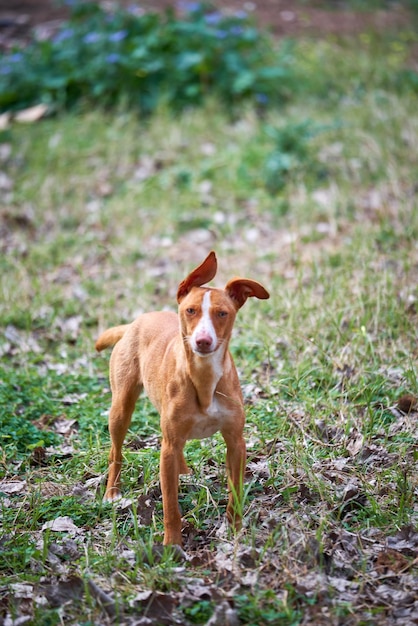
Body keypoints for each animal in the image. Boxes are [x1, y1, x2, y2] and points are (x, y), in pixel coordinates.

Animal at [96, 251, 270, 544]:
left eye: (222, 313)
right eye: (191, 311)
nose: (202, 341)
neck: (203, 378)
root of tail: (135, 322)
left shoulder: (236, 442)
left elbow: (235, 491)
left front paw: (235, 531)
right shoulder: (167, 449)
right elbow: (170, 505)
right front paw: (172, 545)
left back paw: (185, 472)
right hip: (121, 408)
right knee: (115, 451)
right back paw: (112, 492)